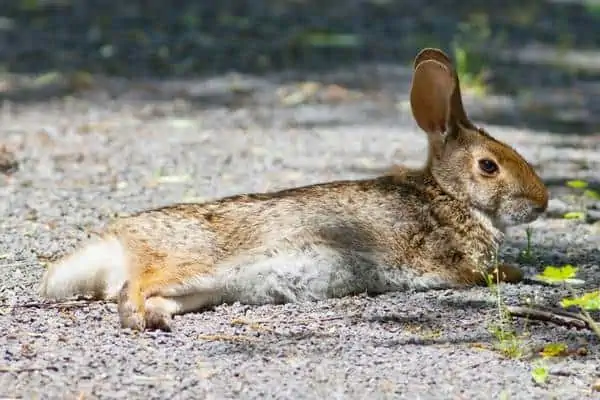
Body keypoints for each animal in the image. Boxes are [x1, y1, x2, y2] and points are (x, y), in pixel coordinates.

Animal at [37, 47, 548, 332]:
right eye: (488, 166)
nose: (541, 203)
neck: (449, 196)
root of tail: (116, 241)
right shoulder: (453, 263)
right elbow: (488, 274)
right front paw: (519, 273)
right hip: (186, 263)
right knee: (133, 287)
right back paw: (142, 319)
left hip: (202, 289)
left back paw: (157, 318)